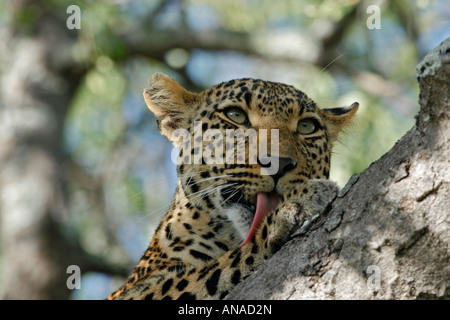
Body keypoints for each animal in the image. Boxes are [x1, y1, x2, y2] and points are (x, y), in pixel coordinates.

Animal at [107, 72, 356, 300]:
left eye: (306, 126)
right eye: (235, 116)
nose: (279, 163)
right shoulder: (137, 292)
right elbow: (230, 259)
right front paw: (299, 204)